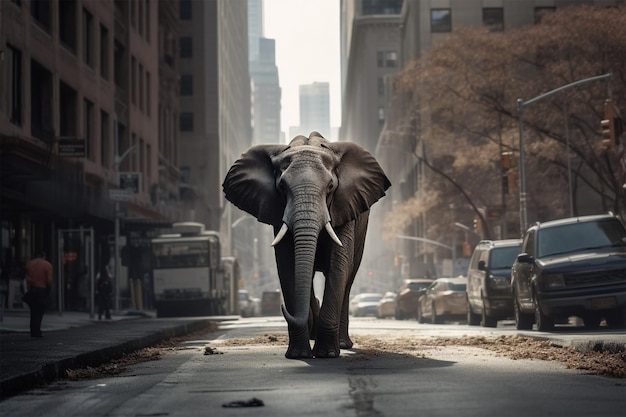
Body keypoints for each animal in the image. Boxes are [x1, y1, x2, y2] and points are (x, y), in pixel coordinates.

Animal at [222, 132, 388, 358]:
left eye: (330, 187)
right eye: (282, 188)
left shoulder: (344, 207)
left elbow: (339, 264)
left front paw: (327, 354)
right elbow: (287, 265)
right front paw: (298, 355)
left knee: (349, 278)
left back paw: (343, 344)